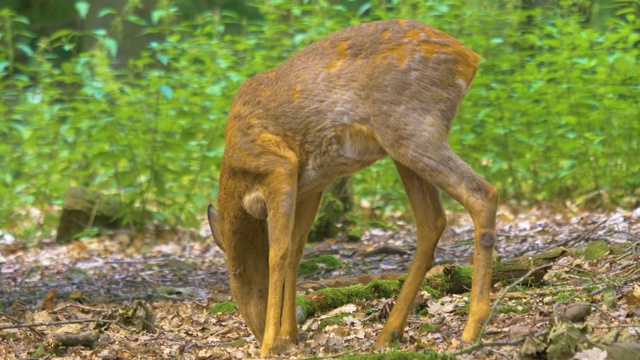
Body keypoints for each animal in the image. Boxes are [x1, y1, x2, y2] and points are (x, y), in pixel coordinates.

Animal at [208, 19, 498, 354]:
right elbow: (295, 251)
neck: (236, 176)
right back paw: (389, 333)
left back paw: (471, 329)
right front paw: (289, 335)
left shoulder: (277, 165)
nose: (254, 331)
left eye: (235, 273)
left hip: (414, 128)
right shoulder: (312, 185)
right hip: (402, 145)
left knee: (481, 194)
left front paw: (270, 345)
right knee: (432, 221)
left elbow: (277, 253)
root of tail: (469, 59)